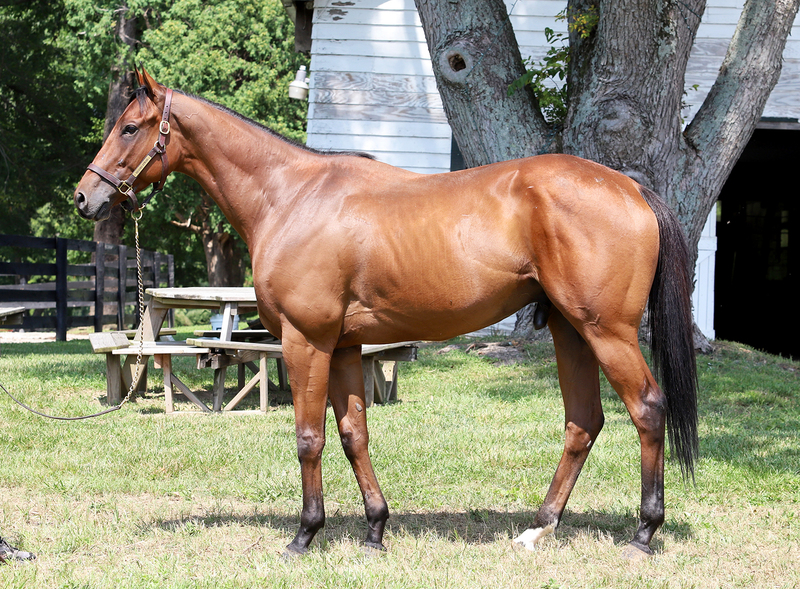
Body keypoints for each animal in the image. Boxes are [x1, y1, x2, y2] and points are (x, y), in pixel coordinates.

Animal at [76, 69, 700, 556]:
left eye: (129, 127)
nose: (86, 197)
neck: (291, 196)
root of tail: (629, 187)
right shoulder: (345, 347)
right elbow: (354, 433)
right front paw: (375, 529)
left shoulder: (307, 342)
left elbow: (309, 437)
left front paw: (305, 535)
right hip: (571, 331)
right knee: (583, 422)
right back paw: (538, 529)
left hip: (606, 332)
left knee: (647, 409)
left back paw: (644, 533)